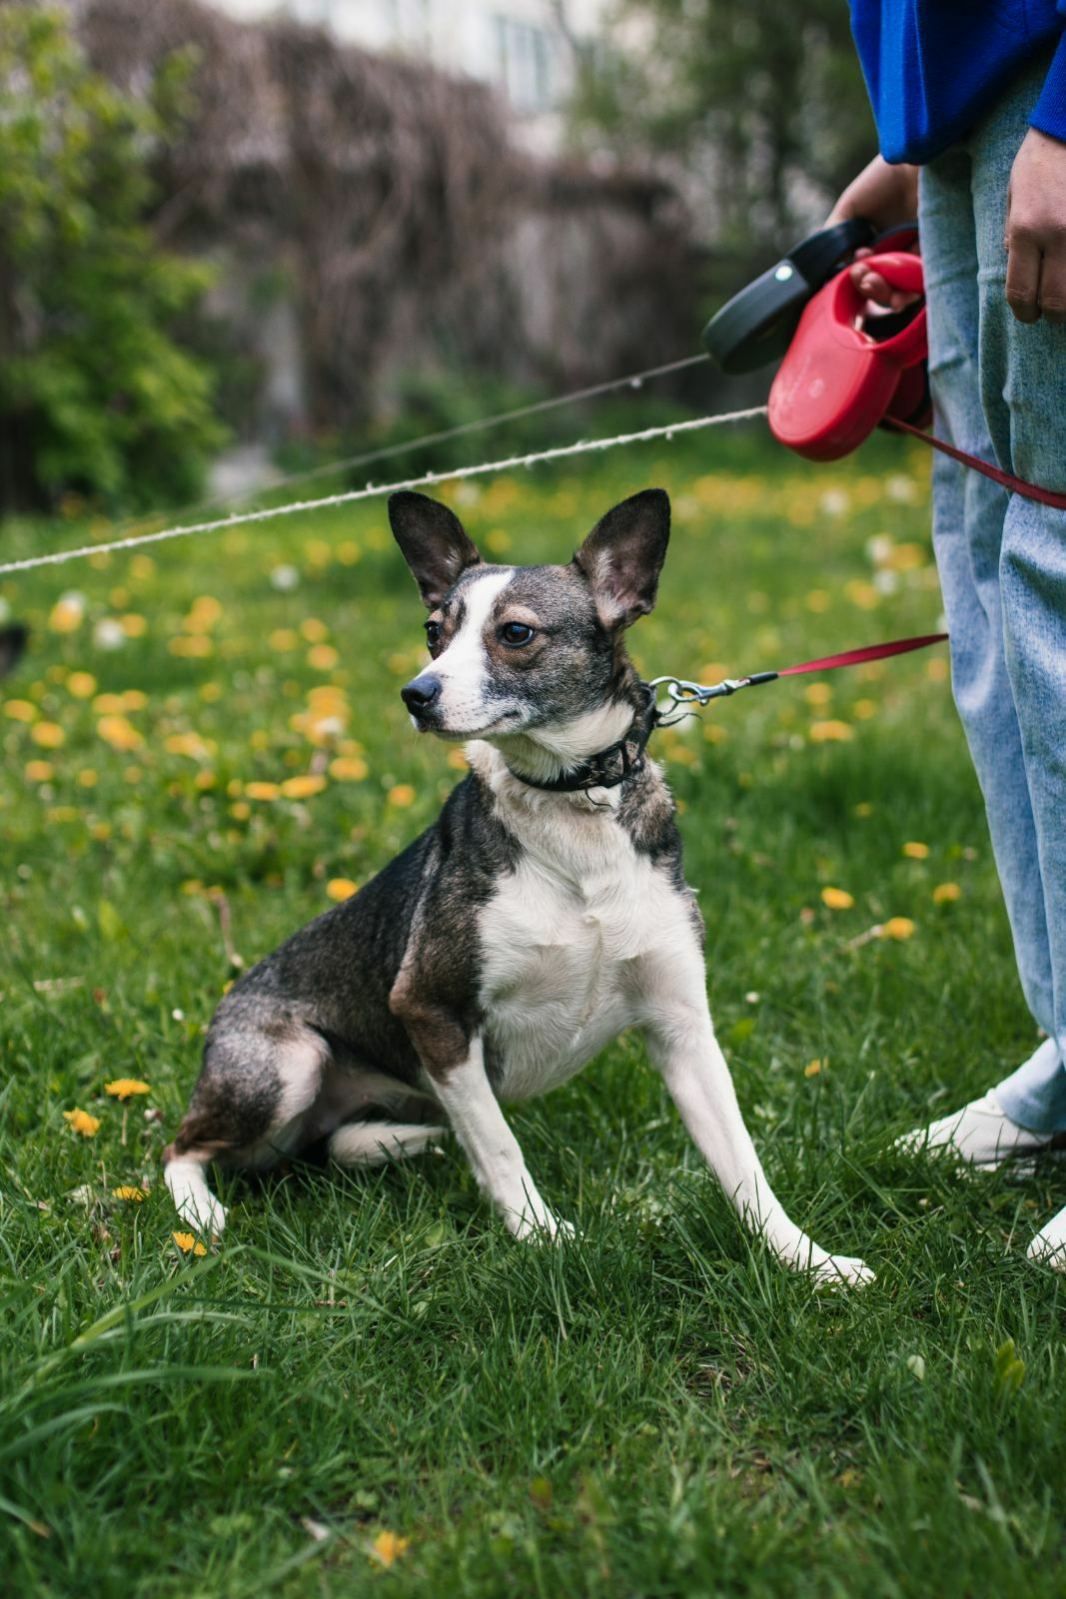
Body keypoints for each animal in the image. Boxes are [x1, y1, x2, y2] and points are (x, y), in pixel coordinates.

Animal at [163, 486, 869, 1285]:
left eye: (517, 633)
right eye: (434, 631)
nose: (416, 693)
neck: (571, 805)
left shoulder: (682, 1025)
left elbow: (744, 1162)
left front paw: (808, 1260)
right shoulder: (431, 1008)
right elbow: (500, 1144)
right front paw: (544, 1237)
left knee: (330, 1145)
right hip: (286, 1067)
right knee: (181, 1148)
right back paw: (201, 1212)